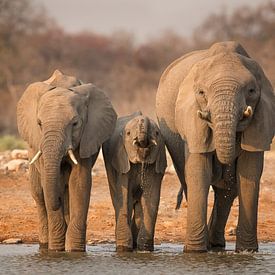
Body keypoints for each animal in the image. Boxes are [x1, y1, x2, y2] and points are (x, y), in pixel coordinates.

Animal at [16, 70, 117, 252]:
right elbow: (47, 184)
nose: (57, 202)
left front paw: (74, 250)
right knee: (39, 193)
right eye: (39, 123)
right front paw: (56, 249)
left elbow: (79, 182)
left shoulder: (87, 137)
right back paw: (45, 244)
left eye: (75, 123)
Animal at [102, 111, 167, 252]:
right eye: (128, 133)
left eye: (157, 133)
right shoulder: (121, 161)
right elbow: (124, 198)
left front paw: (144, 248)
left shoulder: (156, 164)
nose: (142, 143)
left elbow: (151, 199)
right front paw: (124, 248)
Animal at [156, 41, 275, 254]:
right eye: (201, 93)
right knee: (188, 178)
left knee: (227, 190)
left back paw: (216, 245)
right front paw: (195, 251)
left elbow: (249, 174)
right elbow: (198, 171)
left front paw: (247, 252)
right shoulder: (191, 120)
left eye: (251, 91)